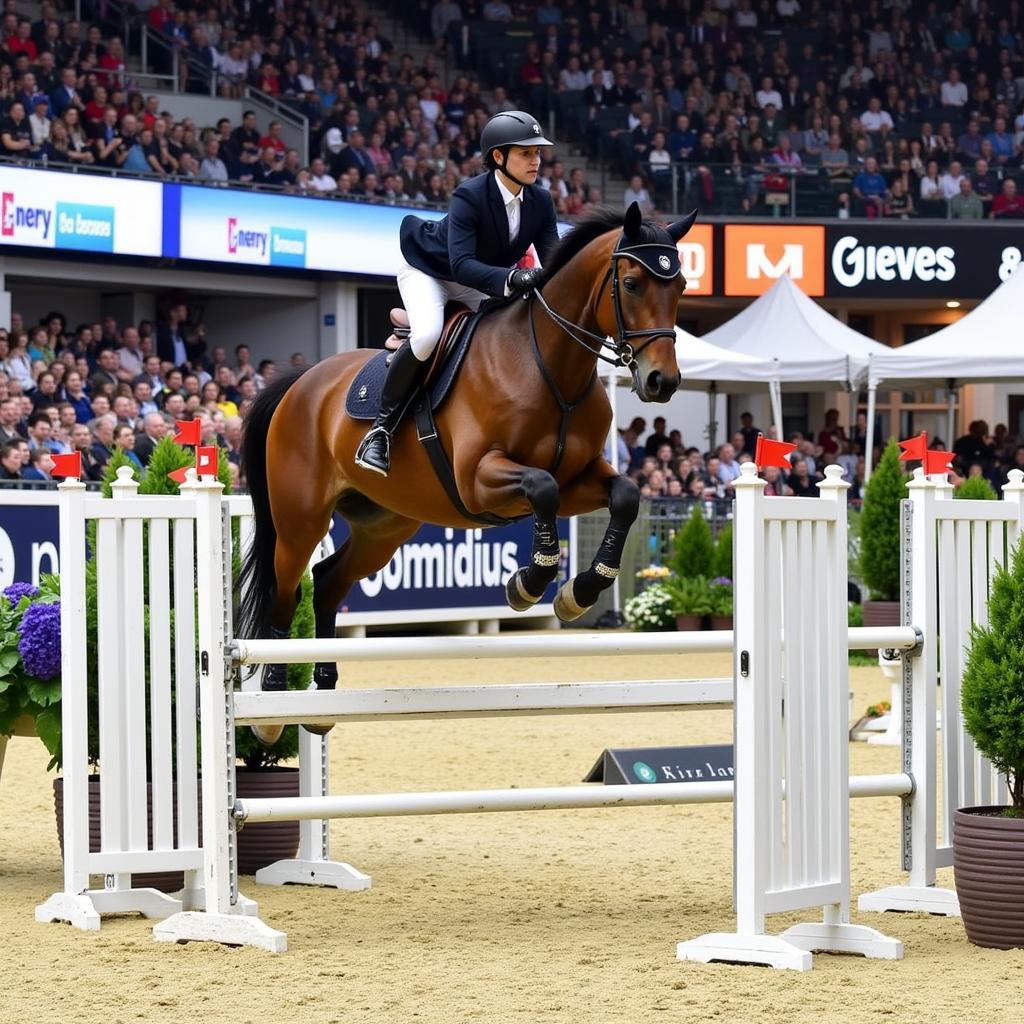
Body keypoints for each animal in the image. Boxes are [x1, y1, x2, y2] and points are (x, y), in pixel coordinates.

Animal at [239, 201, 700, 745]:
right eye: (631, 284)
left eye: (681, 286)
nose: (662, 382)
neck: (551, 366)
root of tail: (298, 382)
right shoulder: (480, 479)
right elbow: (541, 489)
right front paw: (528, 583)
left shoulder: (579, 479)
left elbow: (624, 495)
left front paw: (577, 593)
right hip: (301, 519)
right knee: (285, 590)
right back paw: (272, 707)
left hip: (385, 526)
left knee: (328, 580)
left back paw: (323, 695)